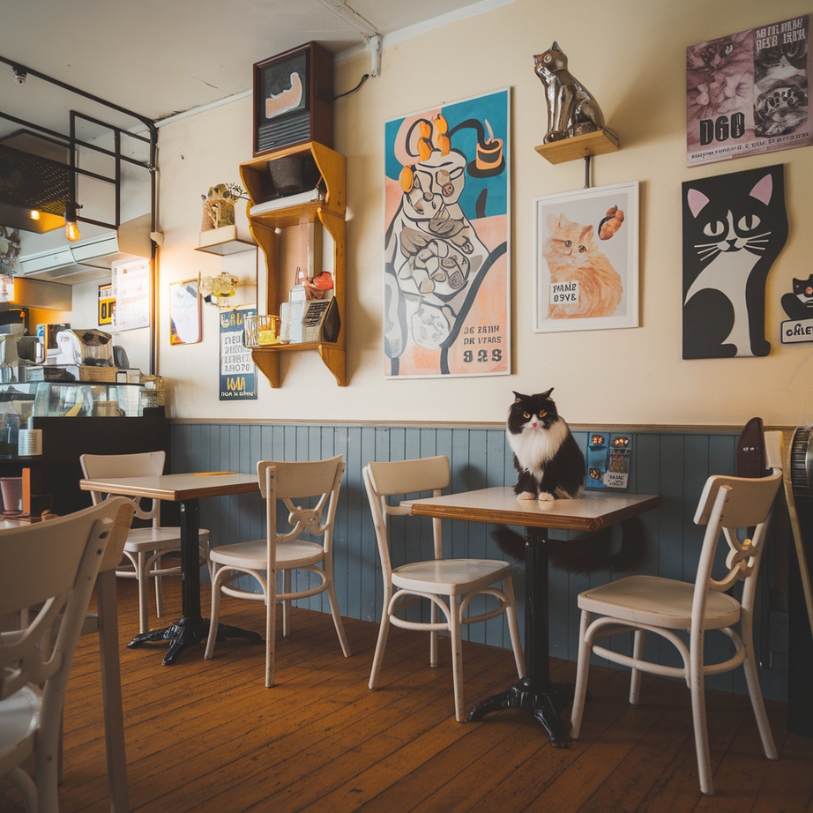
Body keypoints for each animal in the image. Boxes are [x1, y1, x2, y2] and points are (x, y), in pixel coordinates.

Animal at [680, 163, 788, 356]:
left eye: (748, 222)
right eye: (714, 227)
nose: (730, 240)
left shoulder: (756, 277)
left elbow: (754, 315)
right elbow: (751, 317)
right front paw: (757, 347)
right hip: (716, 297)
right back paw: (728, 348)